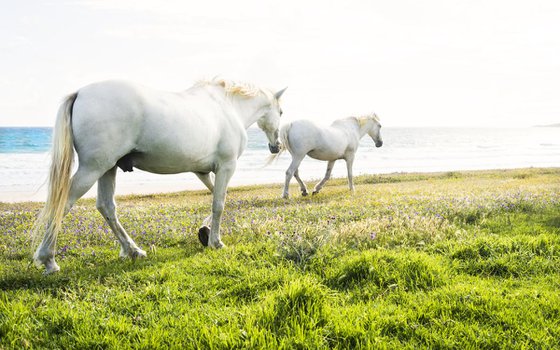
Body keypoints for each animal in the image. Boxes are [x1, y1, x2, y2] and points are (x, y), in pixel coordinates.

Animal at [32, 79, 286, 274]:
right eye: (281, 112)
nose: (277, 146)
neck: (227, 107)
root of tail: (80, 93)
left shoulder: (203, 171)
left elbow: (217, 198)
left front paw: (204, 232)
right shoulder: (226, 167)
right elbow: (219, 204)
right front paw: (215, 241)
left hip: (107, 169)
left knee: (106, 207)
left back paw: (133, 250)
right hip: (92, 169)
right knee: (63, 204)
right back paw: (49, 260)